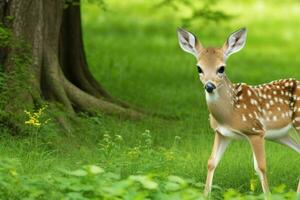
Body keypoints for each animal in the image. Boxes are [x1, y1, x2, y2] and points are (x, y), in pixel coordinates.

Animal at [177, 27, 298, 196]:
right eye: (199, 68)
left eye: (221, 68)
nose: (209, 86)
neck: (229, 114)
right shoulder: (221, 132)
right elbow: (211, 162)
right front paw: (204, 195)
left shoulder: (256, 131)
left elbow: (260, 167)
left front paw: (268, 196)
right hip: (283, 135)